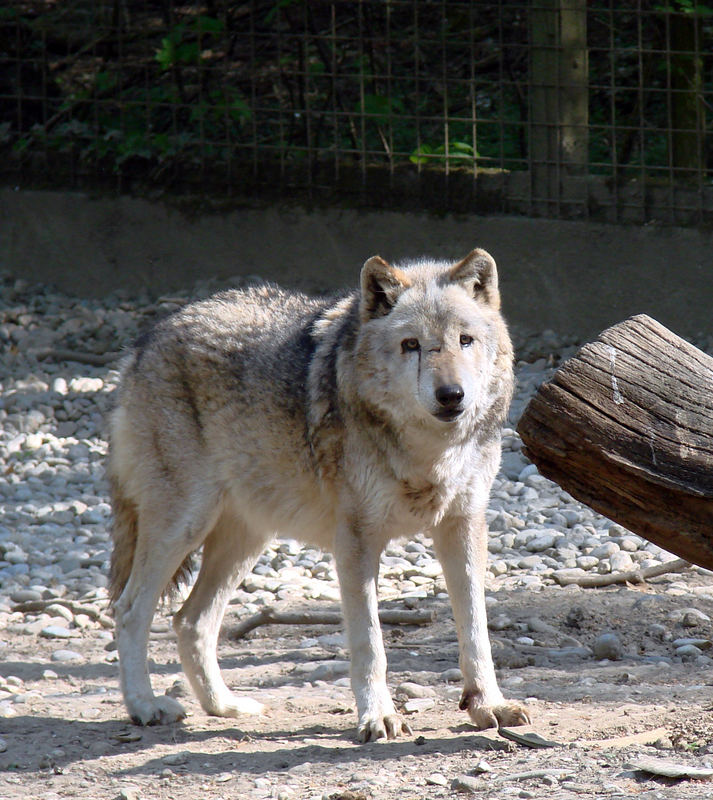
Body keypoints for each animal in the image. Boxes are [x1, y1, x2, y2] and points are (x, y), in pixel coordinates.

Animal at [105, 250, 528, 744]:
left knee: (190, 621)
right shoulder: (356, 541)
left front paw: (489, 705)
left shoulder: (464, 528)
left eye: (465, 340)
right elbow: (369, 643)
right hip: (183, 526)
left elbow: (476, 631)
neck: (429, 453)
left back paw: (224, 706)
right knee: (129, 610)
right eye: (412, 345)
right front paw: (377, 716)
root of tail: (146, 340)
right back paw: (145, 706)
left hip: (245, 541)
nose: (451, 395)